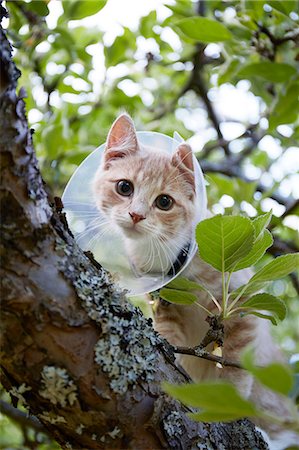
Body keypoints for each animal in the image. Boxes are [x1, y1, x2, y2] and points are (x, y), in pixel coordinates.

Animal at [92, 114, 298, 448]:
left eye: (164, 202)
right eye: (124, 187)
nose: (136, 215)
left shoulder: (241, 307)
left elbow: (235, 368)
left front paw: (227, 408)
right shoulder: (164, 304)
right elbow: (170, 338)